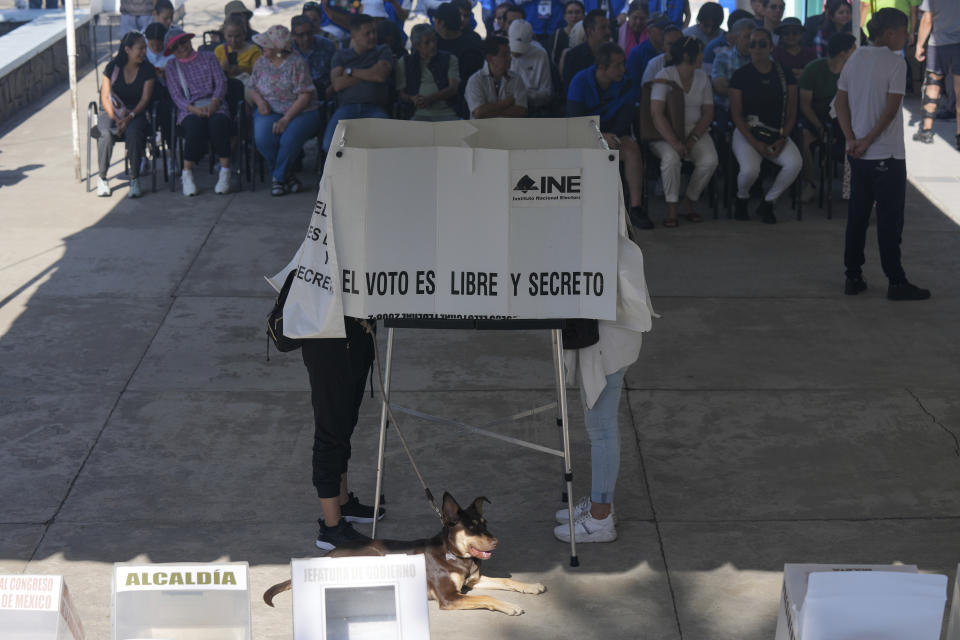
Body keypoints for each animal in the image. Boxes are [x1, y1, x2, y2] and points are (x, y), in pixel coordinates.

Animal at [262, 490, 548, 616]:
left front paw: (531, 585)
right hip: (374, 555)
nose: (496, 541)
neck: (454, 554)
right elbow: (489, 595)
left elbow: (506, 581)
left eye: (485, 524)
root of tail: (321, 558)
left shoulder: (471, 582)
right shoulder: (449, 598)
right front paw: (510, 606)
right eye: (471, 527)